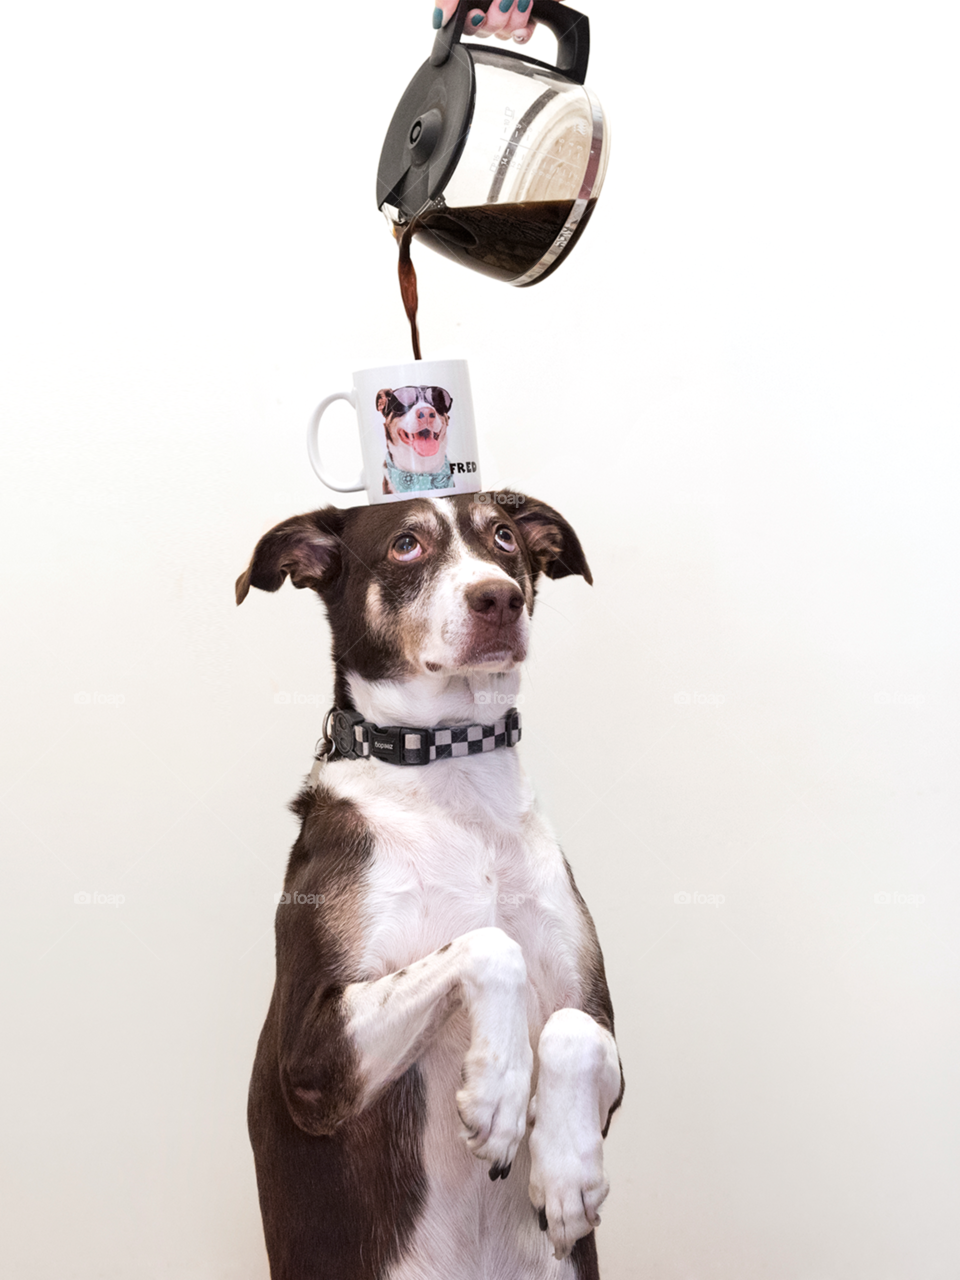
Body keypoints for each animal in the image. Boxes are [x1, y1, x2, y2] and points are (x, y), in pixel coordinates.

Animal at [236, 491, 619, 1280]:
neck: (450, 770)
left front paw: (566, 1172)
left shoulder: (603, 1030)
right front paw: (499, 1091)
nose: (498, 598)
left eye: (504, 537)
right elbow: (488, 943)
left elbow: (571, 1030)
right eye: (406, 545)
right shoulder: (311, 1059)